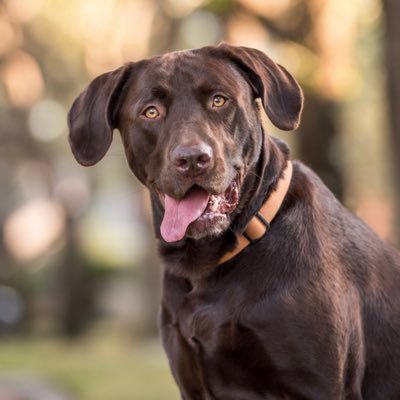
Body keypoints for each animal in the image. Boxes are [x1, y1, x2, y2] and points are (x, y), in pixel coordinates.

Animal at [67, 44, 400, 400]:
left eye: (219, 100)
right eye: (151, 112)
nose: (192, 159)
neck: (208, 265)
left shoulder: (318, 386)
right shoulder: (192, 383)